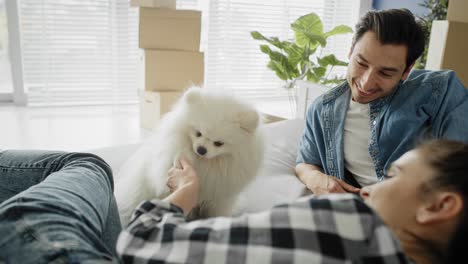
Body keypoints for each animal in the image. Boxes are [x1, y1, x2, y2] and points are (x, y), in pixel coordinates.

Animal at [114, 86, 264, 225]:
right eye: (198, 133)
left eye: (218, 143)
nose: (201, 149)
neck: (205, 163)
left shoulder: (220, 198)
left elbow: (217, 213)